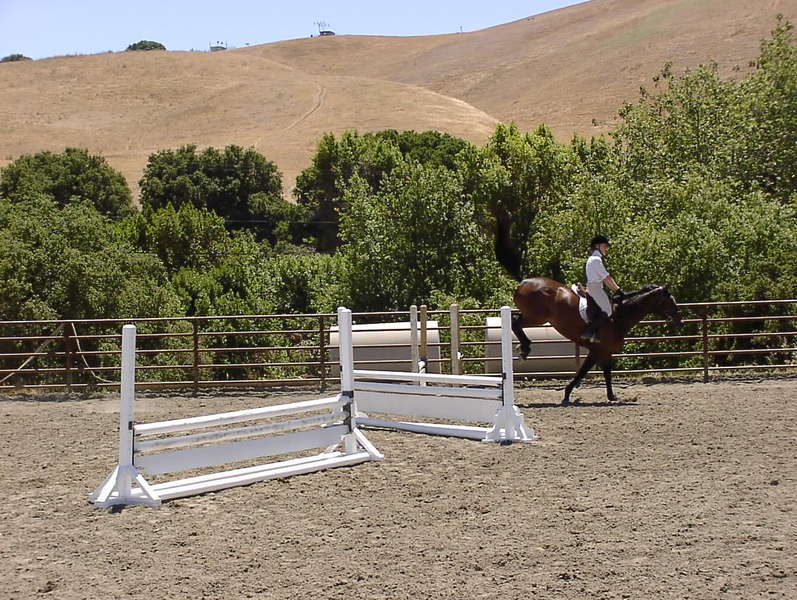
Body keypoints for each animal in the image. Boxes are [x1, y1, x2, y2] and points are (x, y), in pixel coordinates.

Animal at [512, 277, 682, 405]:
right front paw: (567, 395)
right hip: (536, 317)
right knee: (515, 322)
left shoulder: (605, 352)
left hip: (532, 316)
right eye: (670, 301)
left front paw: (612, 396)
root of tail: (523, 284)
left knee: (515, 320)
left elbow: (606, 373)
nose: (679, 321)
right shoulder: (597, 351)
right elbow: (582, 372)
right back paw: (525, 347)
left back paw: (524, 348)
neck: (617, 317)